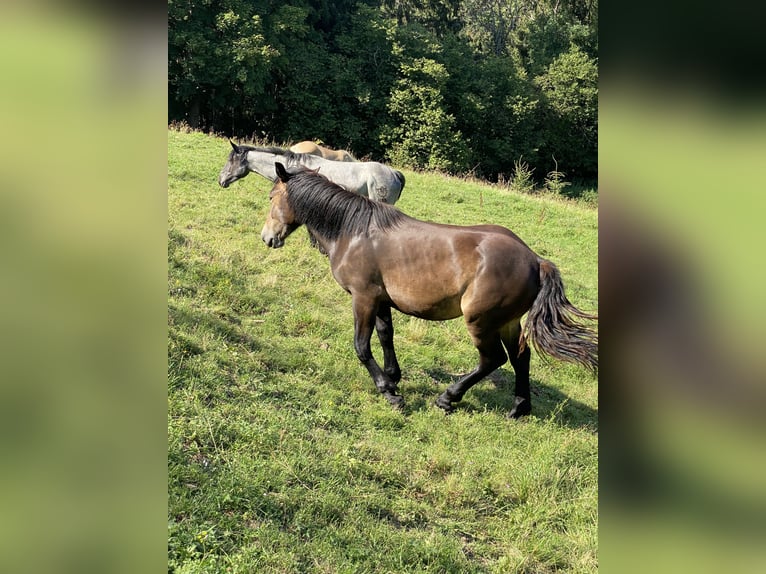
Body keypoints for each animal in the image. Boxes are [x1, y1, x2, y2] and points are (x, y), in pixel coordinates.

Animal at [260, 163, 598, 418]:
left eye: (271, 196)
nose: (267, 238)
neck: (355, 232)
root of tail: (535, 260)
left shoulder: (363, 298)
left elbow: (362, 346)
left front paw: (389, 392)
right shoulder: (381, 300)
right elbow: (385, 336)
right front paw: (393, 377)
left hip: (480, 321)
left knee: (492, 360)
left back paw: (449, 397)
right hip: (508, 322)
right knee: (520, 357)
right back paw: (519, 408)